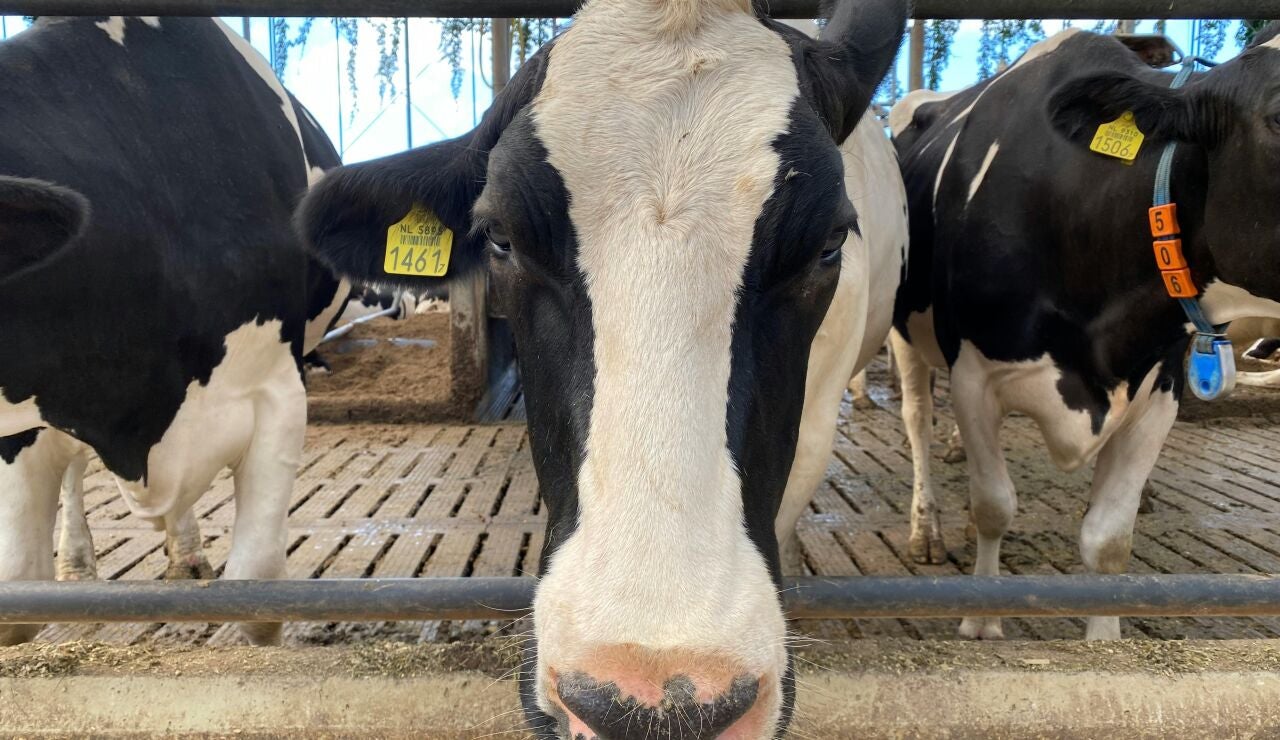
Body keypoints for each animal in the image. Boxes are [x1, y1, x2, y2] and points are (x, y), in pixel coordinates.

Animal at [0, 16, 346, 645]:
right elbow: (17, 589)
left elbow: (258, 592)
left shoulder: (277, 390)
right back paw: (79, 564)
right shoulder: (24, 417)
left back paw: (183, 551)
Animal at [890, 25, 1280, 642]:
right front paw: (982, 619)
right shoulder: (976, 375)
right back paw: (926, 527)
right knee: (917, 420)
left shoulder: (1159, 389)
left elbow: (1109, 539)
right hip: (906, 335)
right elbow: (993, 505)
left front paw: (1104, 640)